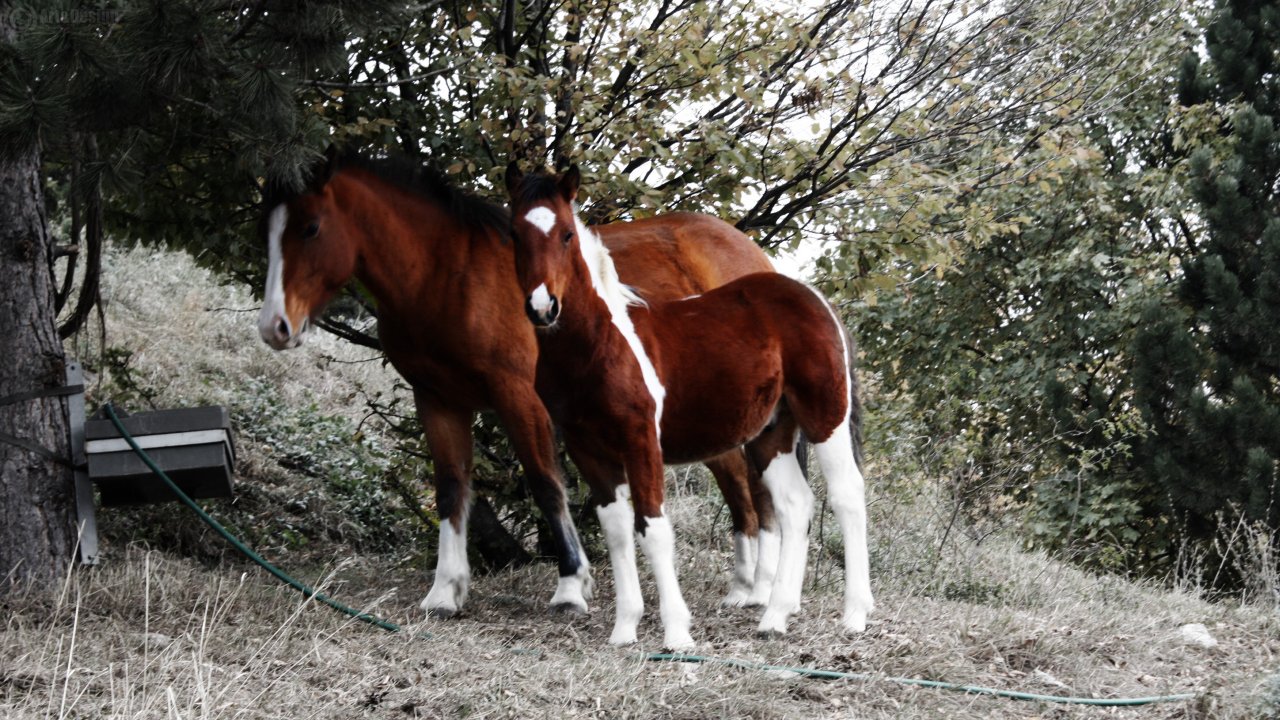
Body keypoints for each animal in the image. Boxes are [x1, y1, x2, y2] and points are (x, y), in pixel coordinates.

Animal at [248, 149, 768, 617]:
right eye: (267, 232)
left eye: (310, 228)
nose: (274, 326)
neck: (448, 276)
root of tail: (749, 252)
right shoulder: (437, 399)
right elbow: (451, 487)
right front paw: (445, 591)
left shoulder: (519, 396)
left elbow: (545, 483)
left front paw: (571, 586)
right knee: (734, 476)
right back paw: (744, 586)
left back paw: (753, 588)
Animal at [504, 165, 875, 648]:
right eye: (515, 233)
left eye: (567, 234)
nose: (543, 307)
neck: (600, 345)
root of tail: (817, 298)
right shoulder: (588, 450)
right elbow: (618, 531)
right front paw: (624, 629)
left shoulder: (641, 440)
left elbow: (654, 528)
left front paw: (677, 633)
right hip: (770, 433)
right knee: (795, 504)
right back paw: (774, 616)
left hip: (826, 416)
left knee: (847, 495)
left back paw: (854, 614)